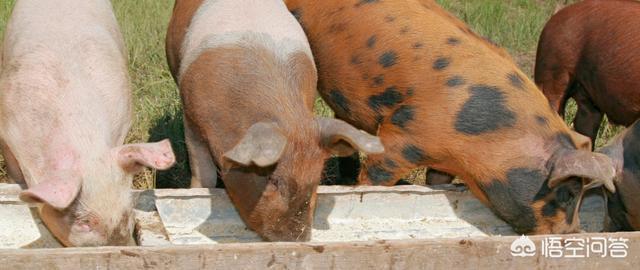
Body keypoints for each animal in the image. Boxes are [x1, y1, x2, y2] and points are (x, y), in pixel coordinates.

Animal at [168, 0, 382, 240]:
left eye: (316, 179)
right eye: (272, 179)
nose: (297, 239)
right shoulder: (191, 119)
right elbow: (203, 174)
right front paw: (196, 191)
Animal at [288, 0, 616, 233]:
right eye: (568, 194)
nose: (571, 233)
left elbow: (436, 181)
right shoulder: (401, 134)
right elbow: (377, 176)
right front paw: (362, 190)